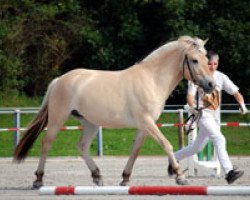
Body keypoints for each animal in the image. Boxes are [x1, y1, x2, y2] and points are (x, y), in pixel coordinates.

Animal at [14, 35, 215, 188]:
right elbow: (166, 144)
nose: (211, 85)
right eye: (194, 60)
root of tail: (59, 80)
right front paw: (180, 176)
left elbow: (135, 150)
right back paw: (38, 180)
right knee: (46, 144)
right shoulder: (147, 122)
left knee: (82, 146)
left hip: (91, 123)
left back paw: (97, 176)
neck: (152, 80)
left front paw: (125, 178)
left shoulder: (144, 126)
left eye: (207, 60)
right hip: (58, 118)